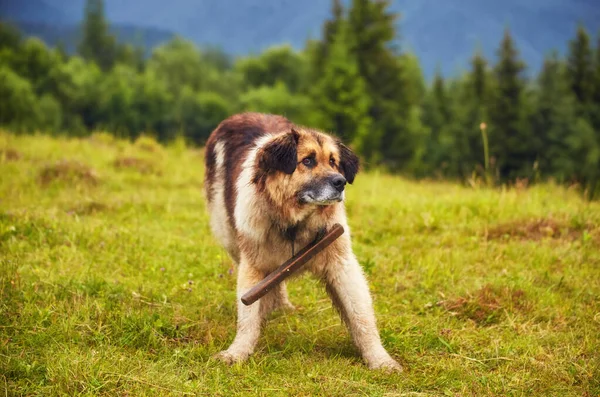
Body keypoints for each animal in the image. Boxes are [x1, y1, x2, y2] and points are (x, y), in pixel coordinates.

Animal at [203, 111, 404, 372]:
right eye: (307, 161)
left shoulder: (341, 263)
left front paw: (380, 359)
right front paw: (237, 352)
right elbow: (247, 315)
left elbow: (361, 316)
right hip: (227, 233)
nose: (340, 182)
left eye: (333, 162)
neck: (294, 222)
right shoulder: (252, 265)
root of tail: (242, 114)